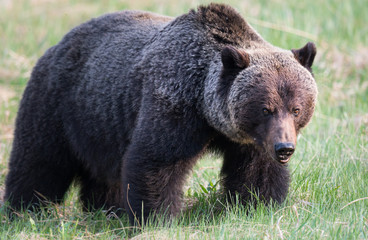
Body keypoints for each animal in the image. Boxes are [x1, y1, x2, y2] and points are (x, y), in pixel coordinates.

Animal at [3, 3, 316, 225]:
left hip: (100, 125)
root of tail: (56, 45)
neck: (206, 110)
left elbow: (256, 172)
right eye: (266, 108)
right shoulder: (172, 104)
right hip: (59, 106)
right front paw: (156, 218)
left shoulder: (250, 139)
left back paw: (106, 208)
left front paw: (258, 206)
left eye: (296, 108)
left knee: (102, 174)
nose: (285, 148)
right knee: (39, 162)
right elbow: (157, 161)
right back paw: (24, 211)